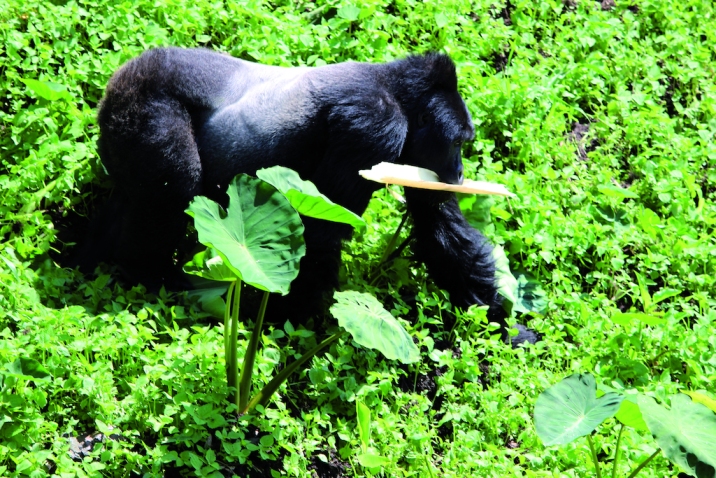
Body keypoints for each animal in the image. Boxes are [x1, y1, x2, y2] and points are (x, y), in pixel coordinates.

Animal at [79, 48, 536, 346]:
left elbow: (441, 226)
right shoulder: (374, 123)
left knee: (137, 198)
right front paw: (288, 321)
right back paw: (152, 273)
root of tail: (118, 79)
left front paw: (500, 323)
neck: (397, 91)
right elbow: (322, 228)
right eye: (457, 144)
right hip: (143, 99)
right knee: (176, 184)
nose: (458, 173)